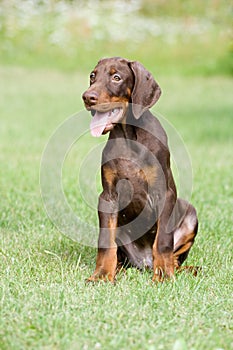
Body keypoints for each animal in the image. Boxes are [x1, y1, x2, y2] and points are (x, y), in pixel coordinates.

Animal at [82, 57, 198, 282]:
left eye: (116, 77)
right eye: (92, 76)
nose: (87, 97)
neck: (129, 136)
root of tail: (144, 263)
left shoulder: (165, 194)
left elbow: (163, 241)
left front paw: (163, 276)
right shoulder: (108, 197)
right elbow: (105, 241)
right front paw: (102, 275)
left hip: (190, 213)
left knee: (175, 258)